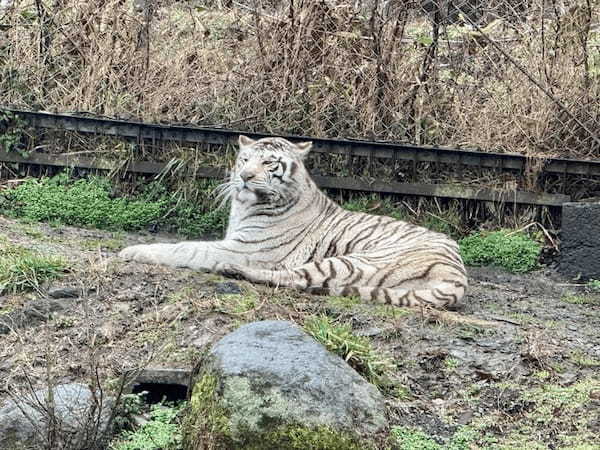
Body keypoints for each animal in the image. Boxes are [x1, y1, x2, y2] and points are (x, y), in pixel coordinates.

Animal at [120, 135, 468, 308]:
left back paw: (232, 270)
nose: (245, 176)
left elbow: (186, 248)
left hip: (352, 261)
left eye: (268, 163)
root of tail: (457, 274)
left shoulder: (242, 247)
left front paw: (132, 251)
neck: (246, 207)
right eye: (245, 159)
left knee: (294, 278)